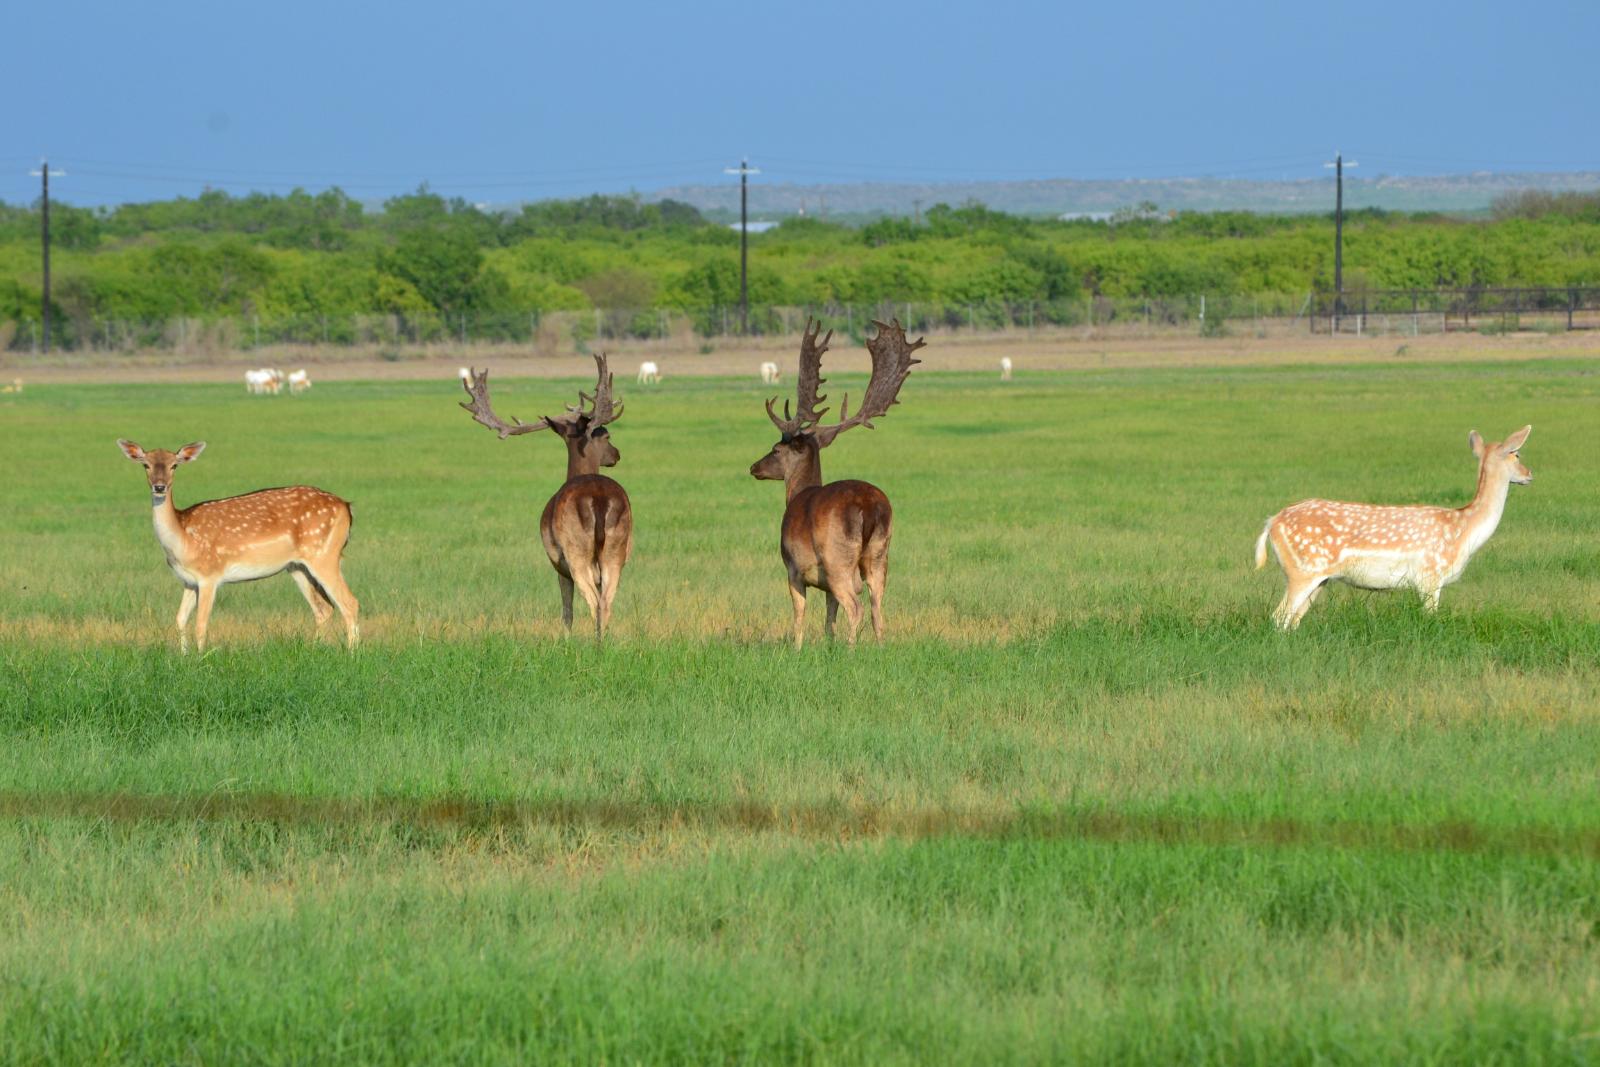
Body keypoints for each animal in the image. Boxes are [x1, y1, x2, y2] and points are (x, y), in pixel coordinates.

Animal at [116, 440, 360, 652]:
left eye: (174, 465)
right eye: (145, 464)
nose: (159, 487)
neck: (183, 540)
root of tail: (346, 507)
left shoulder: (210, 575)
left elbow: (201, 624)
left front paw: (201, 659)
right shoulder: (189, 580)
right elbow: (180, 619)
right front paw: (184, 657)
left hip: (324, 554)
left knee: (350, 603)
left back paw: (352, 654)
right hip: (297, 566)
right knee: (324, 608)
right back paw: (313, 649)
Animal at [460, 354, 632, 639]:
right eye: (607, 435)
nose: (617, 454)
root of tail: (598, 499)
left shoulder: (557, 563)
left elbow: (567, 612)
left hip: (576, 552)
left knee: (593, 602)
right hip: (614, 550)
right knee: (605, 601)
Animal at [750, 318, 923, 648]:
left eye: (776, 449)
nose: (754, 467)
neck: (797, 494)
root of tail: (869, 508)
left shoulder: (793, 568)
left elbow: (800, 615)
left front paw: (797, 649)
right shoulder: (826, 585)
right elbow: (829, 618)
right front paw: (829, 646)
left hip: (836, 558)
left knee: (856, 607)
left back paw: (852, 649)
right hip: (880, 552)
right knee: (877, 608)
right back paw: (879, 648)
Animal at [1255, 425, 1533, 630]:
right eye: (1517, 454)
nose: (1530, 474)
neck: (1463, 530)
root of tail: (1271, 523)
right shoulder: (1430, 576)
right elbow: (1430, 617)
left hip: (1318, 578)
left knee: (1292, 619)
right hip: (1302, 570)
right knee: (1279, 616)